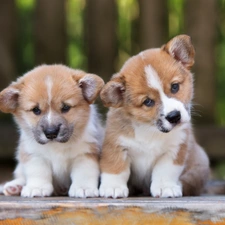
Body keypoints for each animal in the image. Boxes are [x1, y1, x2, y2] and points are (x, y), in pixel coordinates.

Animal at [0, 64, 104, 197]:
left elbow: (84, 173)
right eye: (36, 110)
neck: (56, 146)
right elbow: (38, 172)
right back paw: (14, 186)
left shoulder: (86, 153)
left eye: (66, 107)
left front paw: (84, 188)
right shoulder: (34, 154)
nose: (51, 133)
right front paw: (37, 188)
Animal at [99, 34, 210, 198]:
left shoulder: (175, 149)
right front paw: (112, 187)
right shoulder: (116, 145)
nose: (174, 116)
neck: (150, 129)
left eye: (175, 87)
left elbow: (164, 171)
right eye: (148, 101)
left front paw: (165, 187)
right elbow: (116, 168)